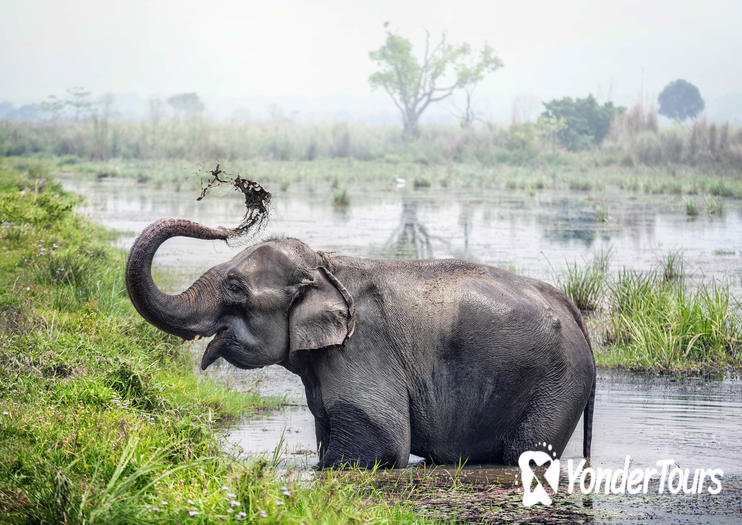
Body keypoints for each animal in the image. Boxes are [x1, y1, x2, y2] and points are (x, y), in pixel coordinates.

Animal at [126, 217, 600, 466]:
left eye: (236, 288)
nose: (225, 228)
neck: (326, 266)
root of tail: (572, 310)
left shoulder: (361, 350)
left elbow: (382, 444)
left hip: (558, 382)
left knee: (526, 454)